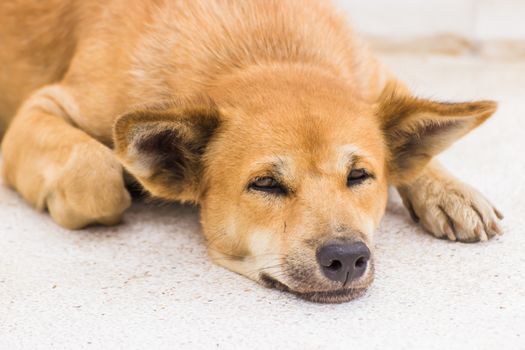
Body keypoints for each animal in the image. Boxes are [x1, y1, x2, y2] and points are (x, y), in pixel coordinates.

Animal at [0, 0, 502, 302]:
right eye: (265, 184)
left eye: (360, 175)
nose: (346, 258)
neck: (266, 50)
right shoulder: (38, 112)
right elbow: (95, 177)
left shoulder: (374, 74)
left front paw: (448, 190)